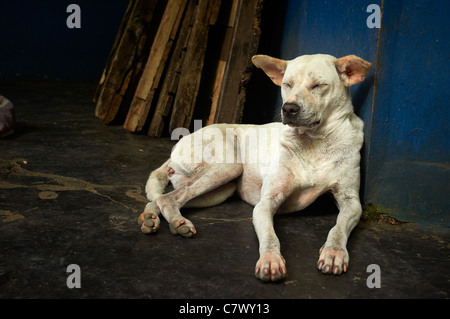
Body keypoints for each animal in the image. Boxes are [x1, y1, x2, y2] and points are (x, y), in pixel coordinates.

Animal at [139, 53, 370, 282]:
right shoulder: (266, 203)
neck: (314, 142)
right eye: (287, 84)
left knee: (161, 199)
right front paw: (271, 259)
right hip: (226, 167)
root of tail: (179, 144)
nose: (289, 108)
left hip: (220, 191)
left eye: (319, 85)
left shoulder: (351, 202)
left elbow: (338, 228)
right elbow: (270, 236)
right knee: (167, 199)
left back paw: (151, 218)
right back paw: (178, 223)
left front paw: (334, 252)